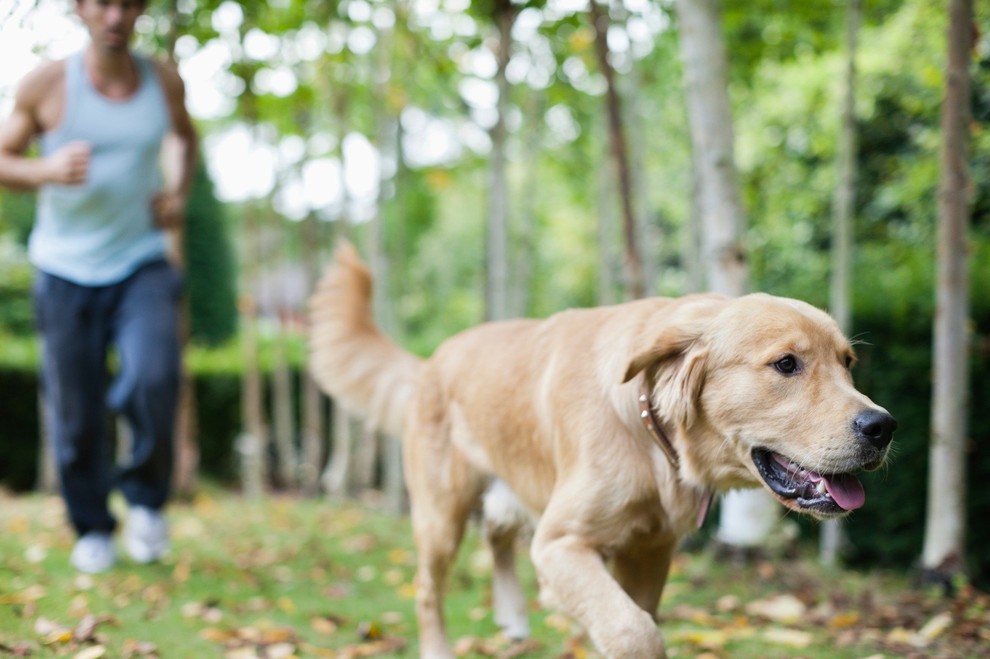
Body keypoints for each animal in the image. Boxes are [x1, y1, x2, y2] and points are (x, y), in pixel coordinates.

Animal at [310, 244, 900, 659]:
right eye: (786, 364)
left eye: (848, 363)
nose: (884, 426)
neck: (650, 436)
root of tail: (432, 359)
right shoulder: (561, 543)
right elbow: (634, 631)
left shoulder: (649, 552)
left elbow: (636, 619)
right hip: (440, 514)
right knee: (429, 591)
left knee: (497, 533)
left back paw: (514, 616)